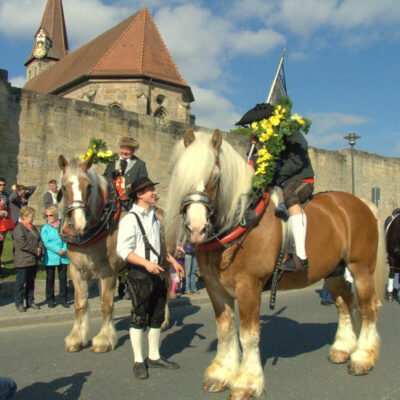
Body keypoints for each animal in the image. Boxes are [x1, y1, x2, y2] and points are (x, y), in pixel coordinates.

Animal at [57, 155, 125, 352]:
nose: (79, 224)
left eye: (89, 186)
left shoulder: (108, 272)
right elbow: (80, 303)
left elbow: (106, 304)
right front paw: (76, 338)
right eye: (64, 187)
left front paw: (104, 339)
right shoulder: (76, 270)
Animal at [164, 130, 386, 398]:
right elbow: (225, 330)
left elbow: (248, 334)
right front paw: (221, 374)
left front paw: (246, 382)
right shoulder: (215, 288)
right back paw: (343, 348)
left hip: (361, 269)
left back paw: (363, 357)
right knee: (345, 305)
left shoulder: (249, 286)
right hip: (334, 272)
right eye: (180, 174)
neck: (242, 220)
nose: (196, 228)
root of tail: (361, 203)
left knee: (367, 307)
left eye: (215, 176)